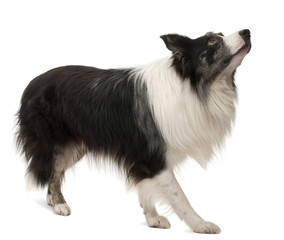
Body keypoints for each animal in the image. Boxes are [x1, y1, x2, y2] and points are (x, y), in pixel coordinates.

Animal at [15, 29, 251, 233]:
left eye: (220, 35)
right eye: (211, 41)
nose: (247, 31)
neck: (193, 84)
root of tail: (32, 82)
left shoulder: (143, 160)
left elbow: (145, 189)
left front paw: (152, 218)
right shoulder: (155, 158)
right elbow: (179, 196)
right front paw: (200, 224)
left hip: (76, 147)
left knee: (54, 171)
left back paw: (51, 199)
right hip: (56, 143)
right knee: (53, 169)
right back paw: (59, 204)